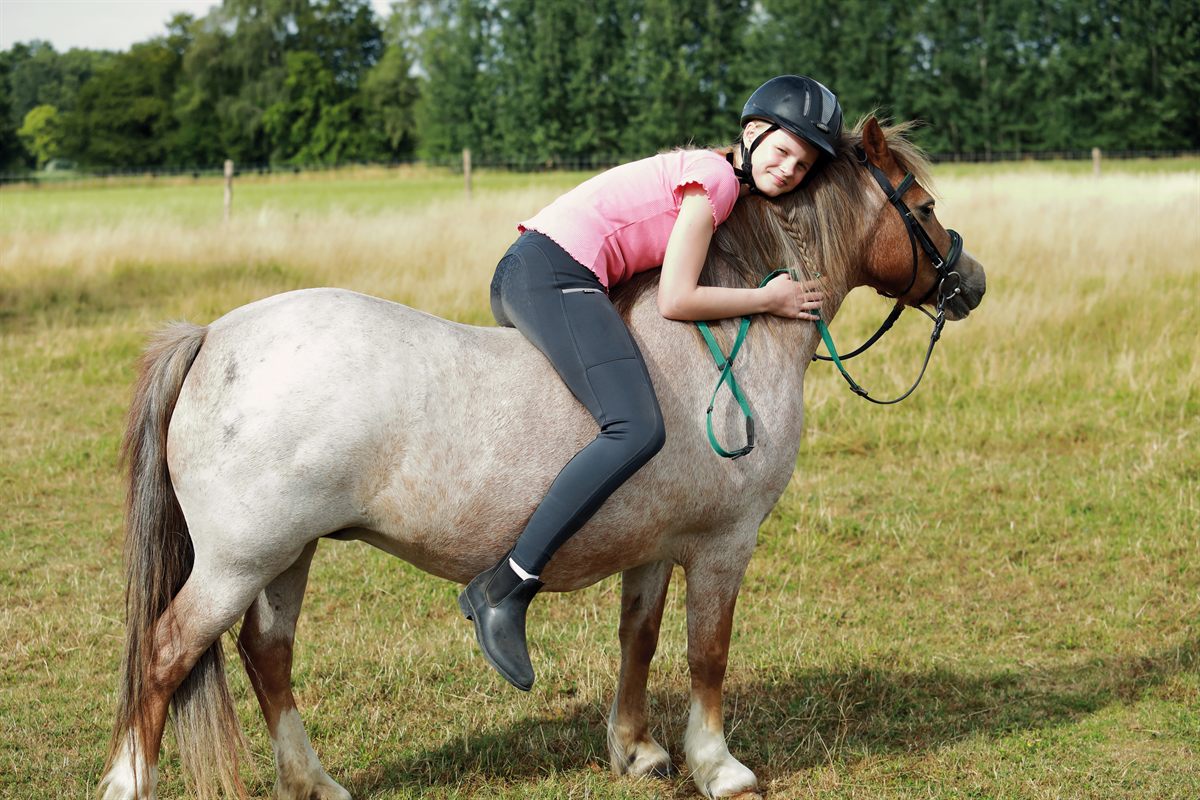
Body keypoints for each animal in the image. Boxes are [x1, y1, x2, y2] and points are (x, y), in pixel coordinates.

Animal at [99, 117, 985, 800]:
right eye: (924, 205)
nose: (969, 281)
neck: (719, 339)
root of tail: (213, 336)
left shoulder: (654, 548)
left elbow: (639, 639)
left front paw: (637, 750)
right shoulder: (723, 547)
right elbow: (708, 654)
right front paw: (720, 765)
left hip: (287, 554)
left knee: (267, 656)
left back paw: (314, 782)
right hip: (238, 561)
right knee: (167, 654)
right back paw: (133, 782)